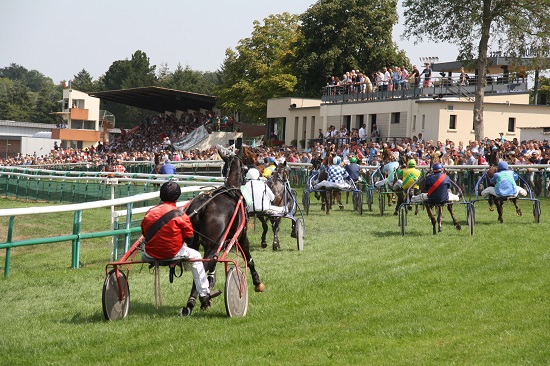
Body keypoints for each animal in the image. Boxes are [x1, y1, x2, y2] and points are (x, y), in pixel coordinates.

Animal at [183, 146, 266, 314]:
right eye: (246, 165)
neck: (232, 191)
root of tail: (202, 205)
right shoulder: (242, 236)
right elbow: (249, 259)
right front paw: (257, 283)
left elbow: (211, 272)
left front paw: (209, 290)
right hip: (212, 246)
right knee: (202, 265)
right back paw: (192, 302)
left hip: (197, 244)